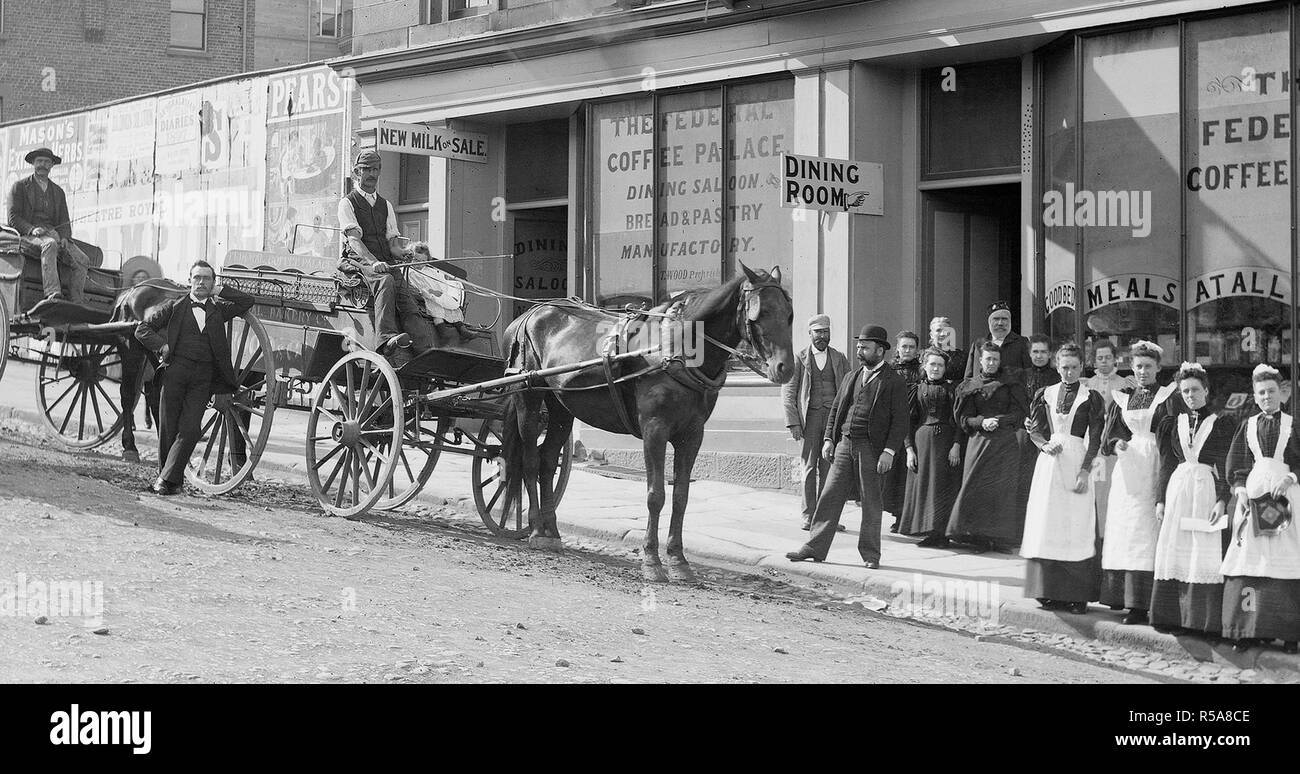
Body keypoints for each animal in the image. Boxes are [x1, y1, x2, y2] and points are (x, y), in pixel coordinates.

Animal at [501, 265, 795, 582]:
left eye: (789, 313)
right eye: (760, 313)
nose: (785, 367)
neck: (677, 349)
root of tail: (530, 314)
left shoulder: (692, 434)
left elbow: (681, 496)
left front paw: (678, 560)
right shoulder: (655, 429)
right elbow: (656, 495)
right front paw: (652, 560)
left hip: (561, 406)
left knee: (547, 460)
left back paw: (551, 532)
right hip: (528, 396)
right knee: (530, 460)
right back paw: (535, 529)